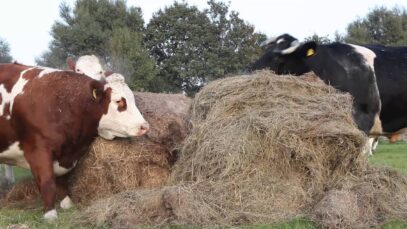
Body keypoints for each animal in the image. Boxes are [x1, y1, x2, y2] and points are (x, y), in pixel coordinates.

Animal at [0, 62, 150, 220]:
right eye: (119, 101)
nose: (145, 126)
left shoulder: (65, 155)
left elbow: (62, 180)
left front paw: (66, 202)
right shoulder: (37, 149)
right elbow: (47, 181)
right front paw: (50, 214)